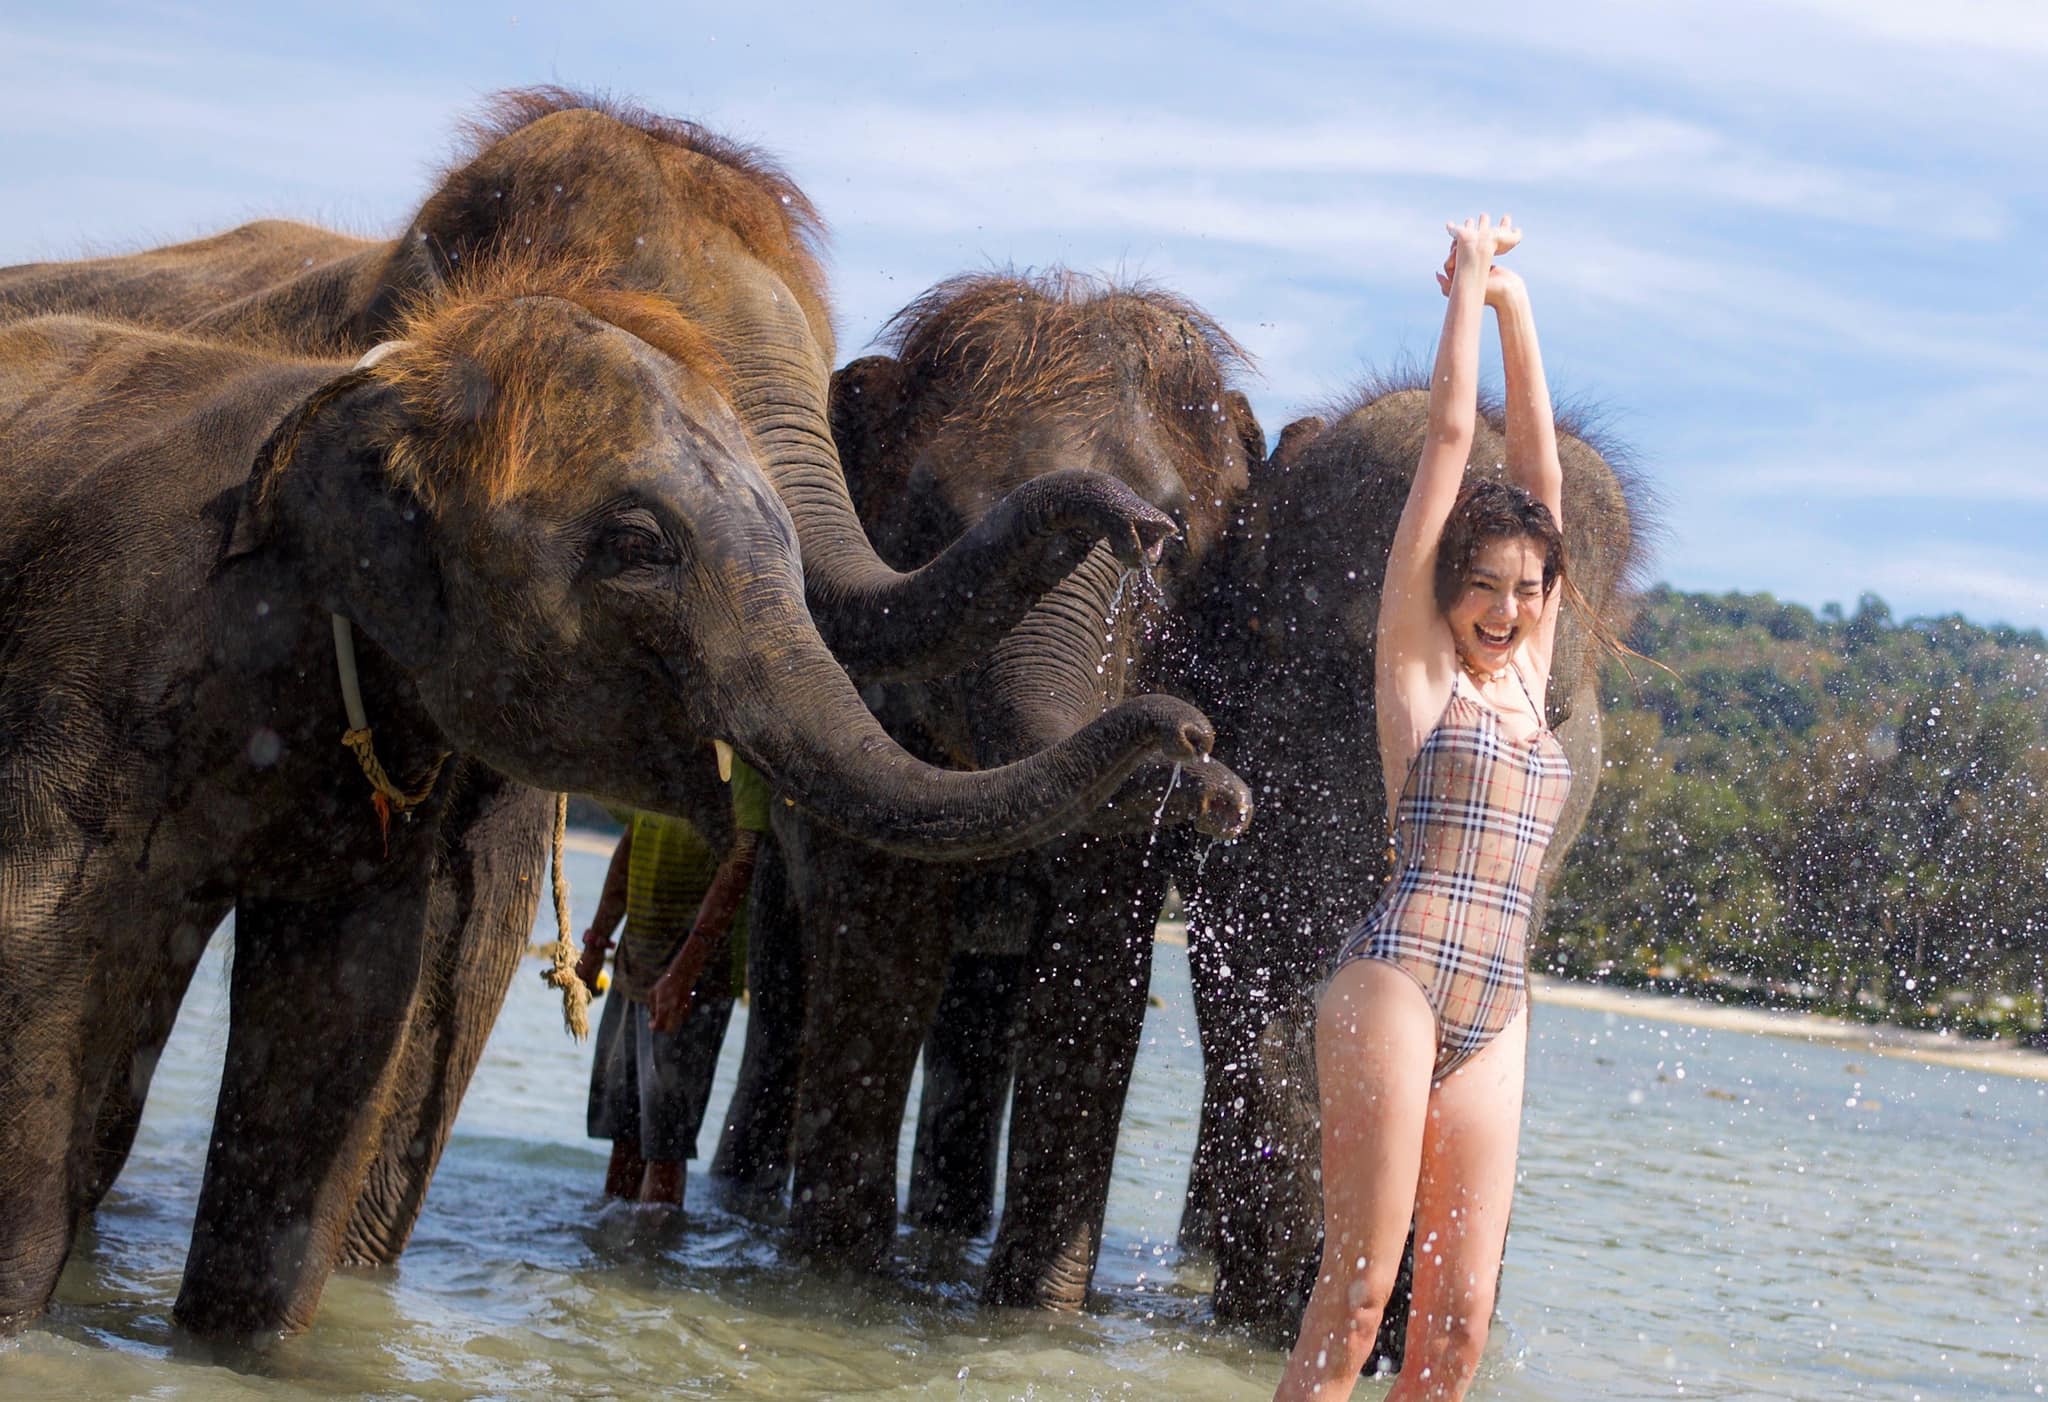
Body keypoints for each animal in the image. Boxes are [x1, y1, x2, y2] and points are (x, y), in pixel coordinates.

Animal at [720, 268, 1261, 1277]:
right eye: (931, 520)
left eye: (1175, 545)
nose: (1210, 766)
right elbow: (883, 945)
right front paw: (831, 1284)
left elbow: (1091, 977)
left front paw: (1034, 1307)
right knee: (784, 984)